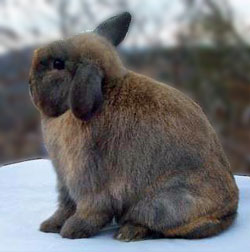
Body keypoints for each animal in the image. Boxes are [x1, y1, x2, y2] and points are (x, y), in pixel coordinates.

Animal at [28, 12, 239, 242]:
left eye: (58, 64)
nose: (28, 82)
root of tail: (229, 211)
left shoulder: (86, 179)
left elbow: (89, 209)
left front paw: (72, 231)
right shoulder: (64, 182)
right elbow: (65, 207)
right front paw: (49, 226)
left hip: (159, 203)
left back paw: (127, 233)